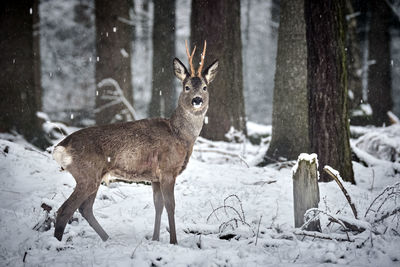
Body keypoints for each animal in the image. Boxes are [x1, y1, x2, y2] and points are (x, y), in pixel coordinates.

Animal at [52, 40, 219, 245]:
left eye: (205, 87)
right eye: (186, 87)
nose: (197, 100)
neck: (180, 136)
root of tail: (60, 147)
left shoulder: (155, 177)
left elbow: (158, 205)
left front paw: (155, 239)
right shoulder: (168, 169)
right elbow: (171, 205)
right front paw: (173, 241)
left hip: (93, 176)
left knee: (85, 209)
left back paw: (108, 239)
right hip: (86, 174)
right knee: (65, 210)